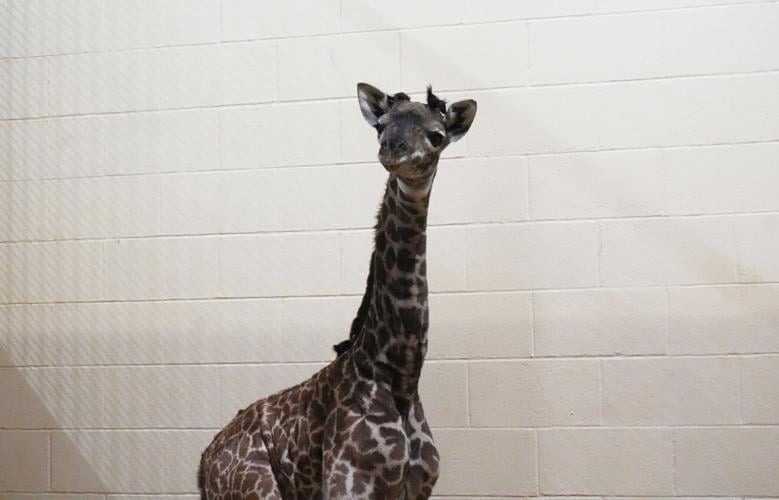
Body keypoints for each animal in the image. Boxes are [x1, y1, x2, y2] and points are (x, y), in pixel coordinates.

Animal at [198, 83, 477, 499]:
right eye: (381, 125)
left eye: (437, 135)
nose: (393, 150)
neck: (400, 376)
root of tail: (204, 463)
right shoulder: (348, 485)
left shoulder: (416, 489)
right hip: (257, 490)